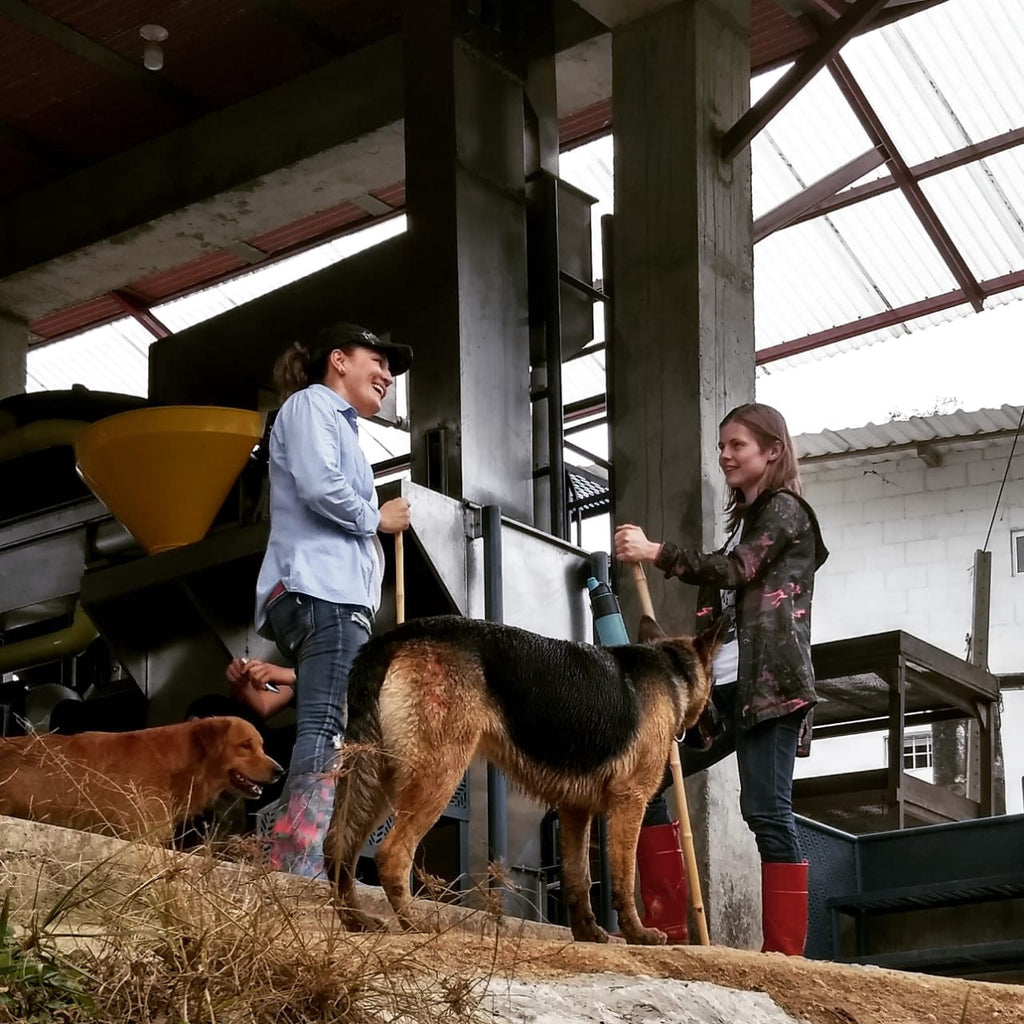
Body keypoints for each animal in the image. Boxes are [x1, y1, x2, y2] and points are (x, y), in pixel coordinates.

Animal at [325, 614, 720, 942]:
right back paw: (414, 925)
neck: (671, 669)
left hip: (379, 781)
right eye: (716, 682)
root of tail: (395, 636)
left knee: (337, 847)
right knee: (390, 855)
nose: (720, 724)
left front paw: (589, 933)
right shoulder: (631, 802)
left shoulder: (574, 811)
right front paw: (638, 933)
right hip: (437, 776)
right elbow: (623, 878)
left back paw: (356, 920)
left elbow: (577, 878)